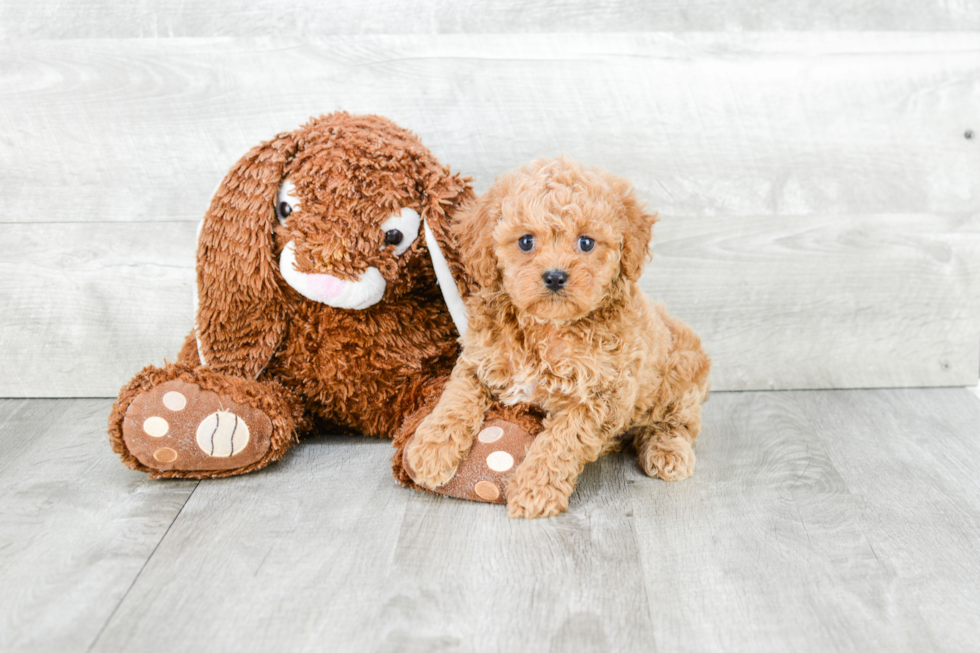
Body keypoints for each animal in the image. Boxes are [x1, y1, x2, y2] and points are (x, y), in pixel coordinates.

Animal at [406, 155, 712, 516]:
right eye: (526, 241)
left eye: (586, 242)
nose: (554, 276)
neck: (546, 327)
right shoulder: (479, 360)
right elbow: (456, 397)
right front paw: (431, 448)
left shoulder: (600, 396)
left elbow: (560, 441)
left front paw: (535, 489)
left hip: (680, 372)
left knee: (676, 421)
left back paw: (668, 451)